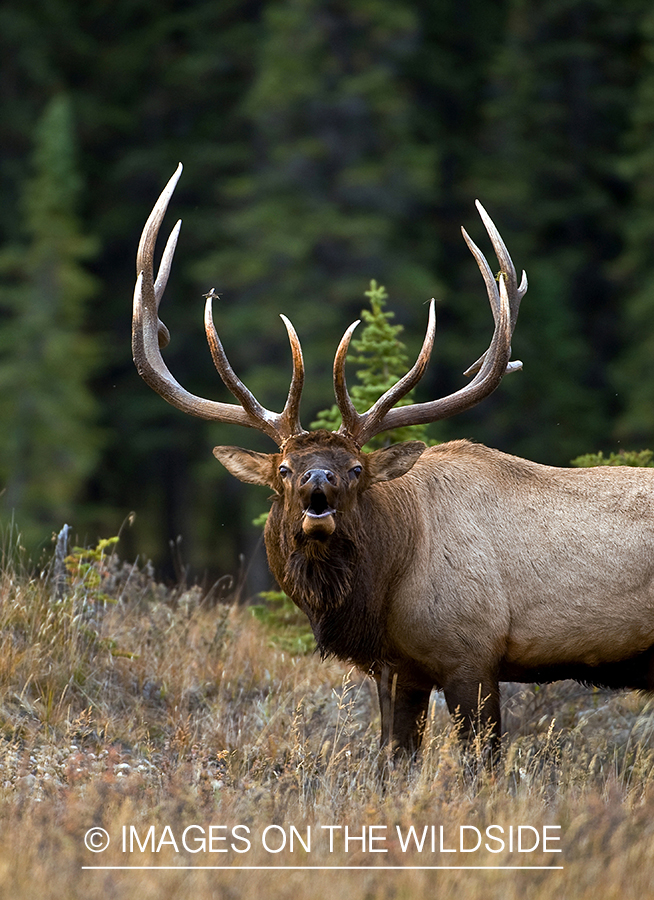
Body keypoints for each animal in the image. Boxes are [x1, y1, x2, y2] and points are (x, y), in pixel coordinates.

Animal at [135, 163, 654, 760]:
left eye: (357, 470)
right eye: (283, 470)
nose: (318, 481)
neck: (384, 591)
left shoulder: (471, 655)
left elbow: (482, 763)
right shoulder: (401, 667)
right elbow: (394, 757)